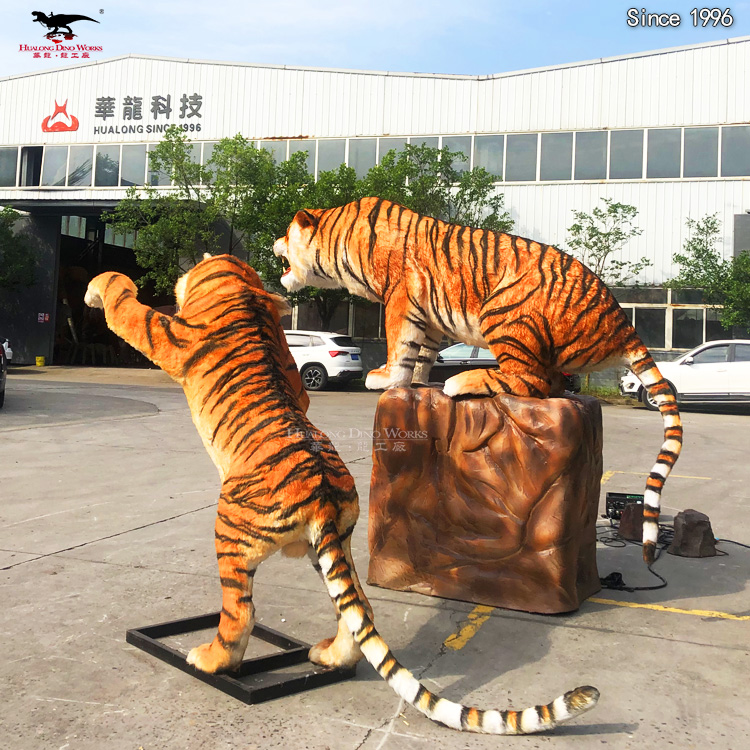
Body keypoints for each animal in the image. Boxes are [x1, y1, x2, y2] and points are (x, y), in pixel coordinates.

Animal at [84, 253, 599, 735]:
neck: (245, 289)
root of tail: (322, 493)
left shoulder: (171, 336)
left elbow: (128, 309)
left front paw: (101, 286)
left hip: (230, 534)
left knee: (241, 615)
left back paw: (209, 660)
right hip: (335, 545)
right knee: (360, 609)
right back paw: (330, 656)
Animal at [273, 197, 683, 565]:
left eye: (287, 232)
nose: (275, 242)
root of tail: (623, 324)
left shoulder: (401, 295)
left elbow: (400, 342)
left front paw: (387, 378)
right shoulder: (428, 313)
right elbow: (422, 352)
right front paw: (416, 381)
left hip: (506, 311)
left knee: (529, 378)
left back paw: (463, 381)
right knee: (550, 382)